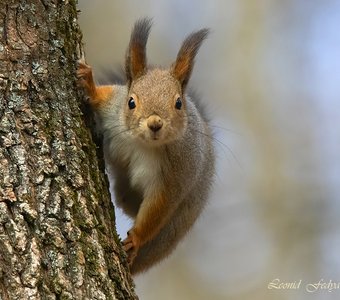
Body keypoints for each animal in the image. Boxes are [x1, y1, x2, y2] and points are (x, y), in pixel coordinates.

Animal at [77, 18, 215, 276]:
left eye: (178, 103)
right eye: (131, 102)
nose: (155, 124)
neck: (142, 142)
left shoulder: (175, 174)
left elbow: (157, 208)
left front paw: (136, 239)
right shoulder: (114, 107)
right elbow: (103, 96)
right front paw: (88, 84)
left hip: (174, 227)